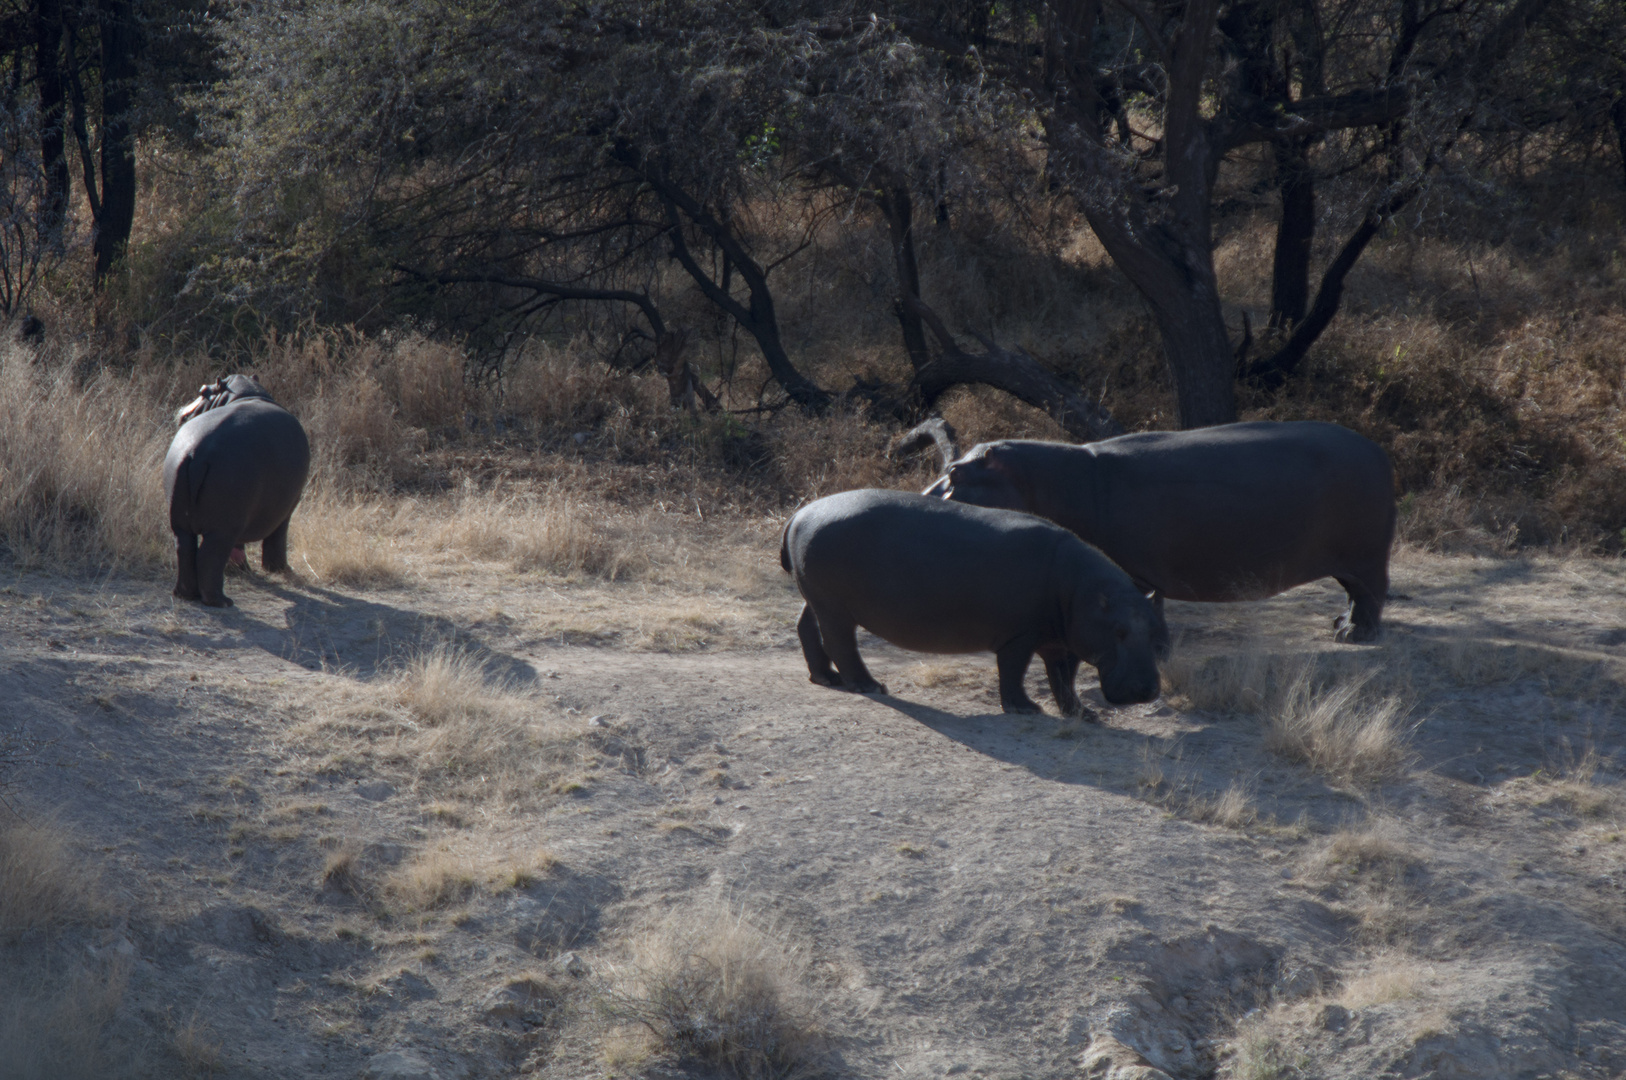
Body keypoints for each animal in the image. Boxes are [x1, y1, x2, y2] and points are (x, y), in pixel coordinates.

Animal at [166, 374, 312, 608]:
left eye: (202, 390)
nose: (182, 413)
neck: (245, 393)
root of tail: (198, 453)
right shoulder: (286, 508)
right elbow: (277, 538)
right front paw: (279, 570)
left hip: (181, 520)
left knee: (185, 549)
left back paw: (185, 594)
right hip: (223, 528)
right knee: (210, 556)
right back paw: (222, 601)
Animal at [777, 491, 1170, 715]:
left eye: (1157, 631)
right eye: (1118, 631)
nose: (1146, 691)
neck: (1084, 592)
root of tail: (799, 514)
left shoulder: (1064, 641)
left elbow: (1063, 680)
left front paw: (1082, 715)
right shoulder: (1020, 636)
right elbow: (1013, 671)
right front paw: (1025, 709)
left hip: (815, 597)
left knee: (806, 628)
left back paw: (827, 678)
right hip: (836, 607)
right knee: (840, 643)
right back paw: (870, 685)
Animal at [930, 419, 1398, 640]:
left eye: (954, 473)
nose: (924, 500)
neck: (1047, 480)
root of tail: (1379, 451)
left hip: (1366, 557)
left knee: (1372, 595)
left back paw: (1352, 636)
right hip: (1350, 561)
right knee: (1356, 594)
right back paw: (1339, 623)